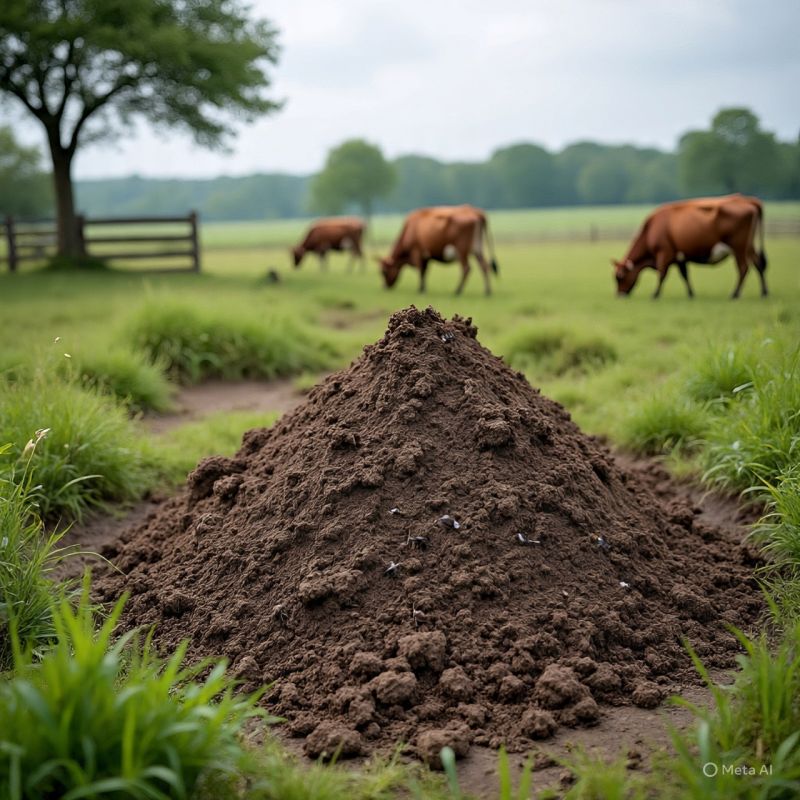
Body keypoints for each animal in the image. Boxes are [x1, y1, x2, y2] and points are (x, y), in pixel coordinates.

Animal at [612, 194, 768, 299]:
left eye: (619, 277)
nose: (619, 295)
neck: (651, 229)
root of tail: (750, 201)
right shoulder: (679, 256)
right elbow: (685, 276)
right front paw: (691, 294)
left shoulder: (664, 252)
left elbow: (662, 274)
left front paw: (655, 294)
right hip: (749, 246)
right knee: (758, 264)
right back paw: (764, 292)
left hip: (739, 247)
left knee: (743, 268)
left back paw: (735, 294)